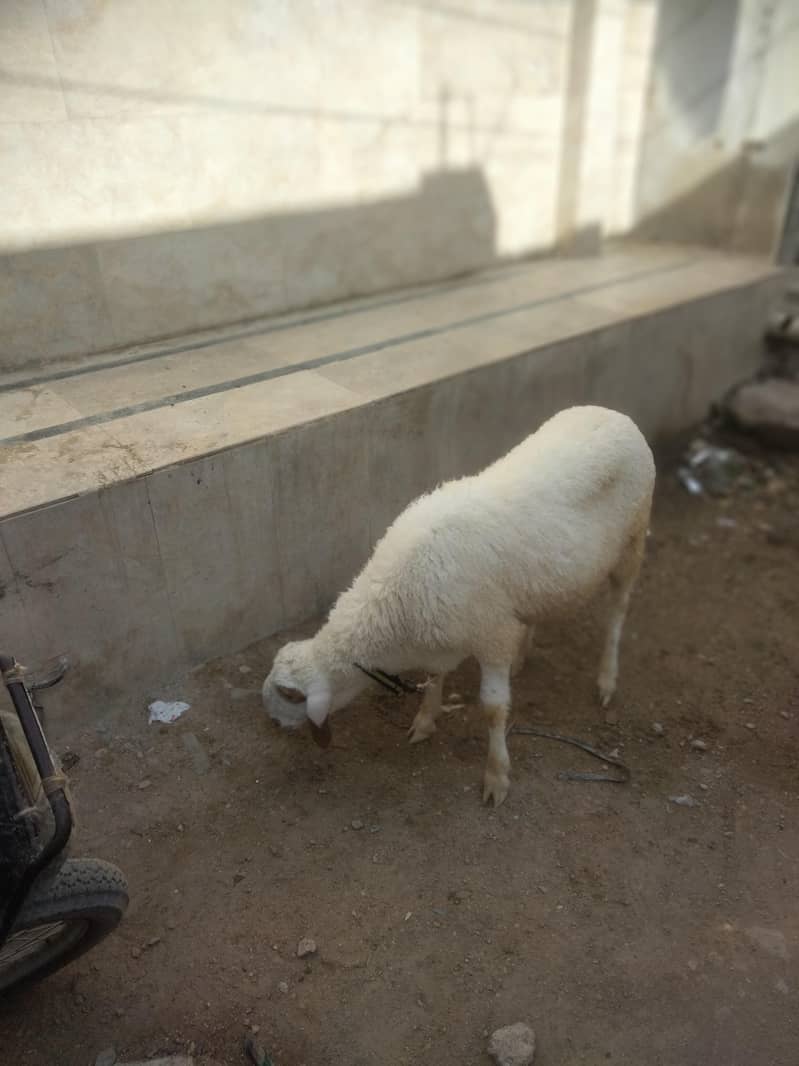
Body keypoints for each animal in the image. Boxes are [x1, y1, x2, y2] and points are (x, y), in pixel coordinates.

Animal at [263, 405, 655, 806]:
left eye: (290, 695)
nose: (274, 724)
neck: (393, 599)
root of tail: (613, 413)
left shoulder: (491, 635)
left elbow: (494, 710)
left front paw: (496, 775)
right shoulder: (446, 631)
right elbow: (434, 676)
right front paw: (425, 719)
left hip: (632, 541)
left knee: (617, 612)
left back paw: (606, 677)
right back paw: (523, 655)